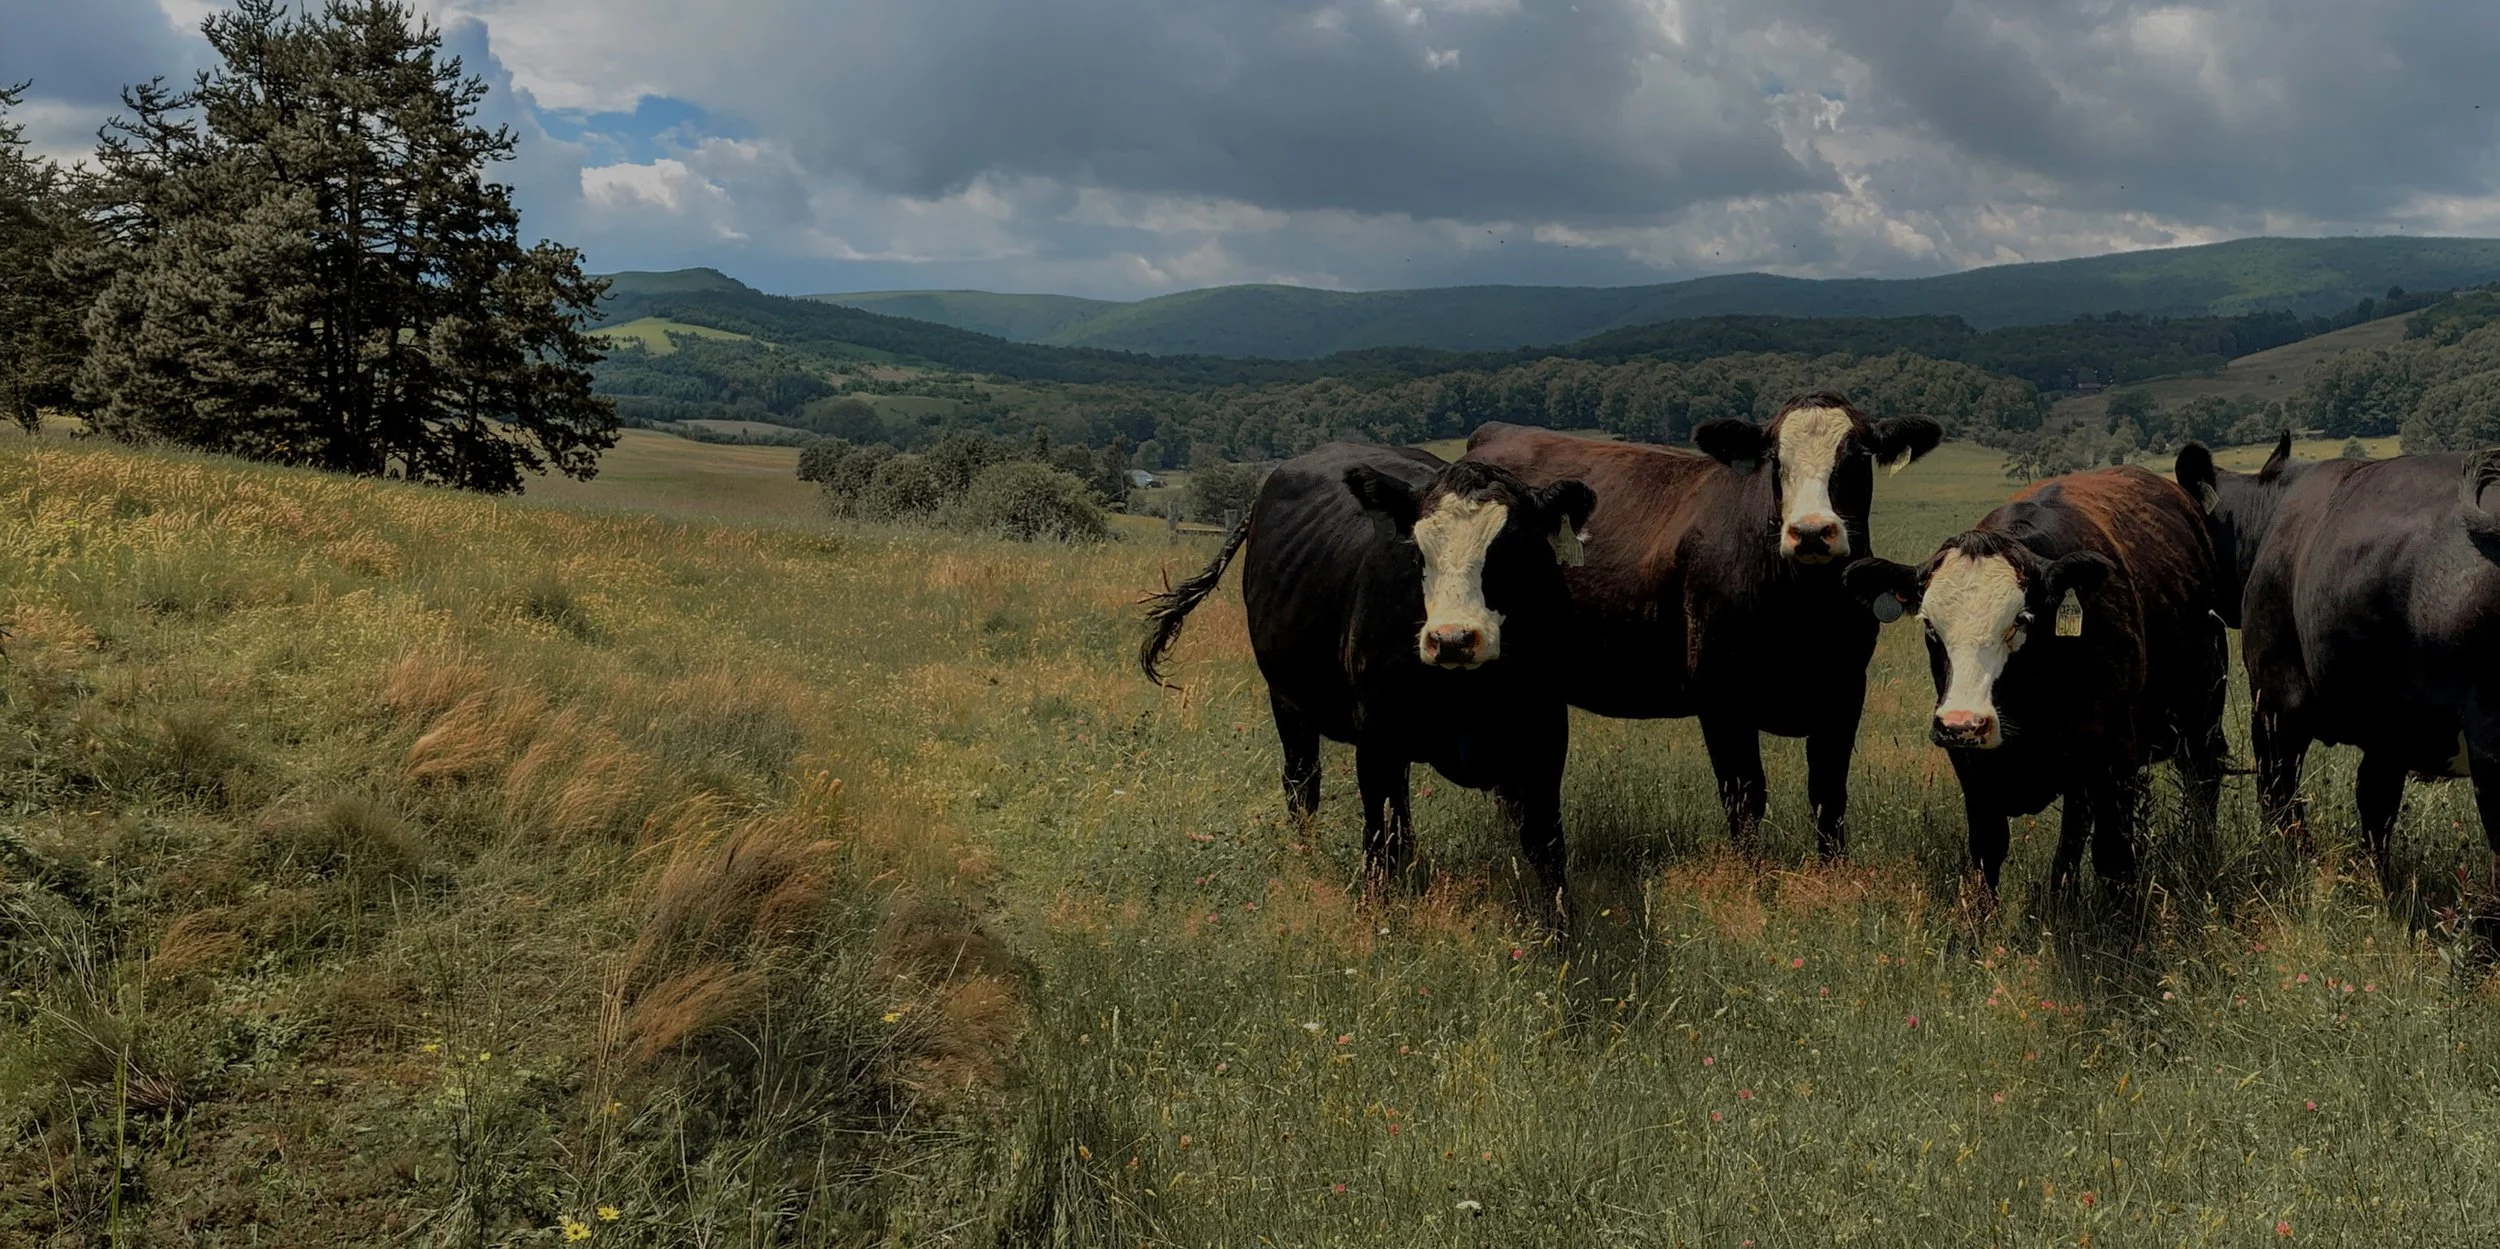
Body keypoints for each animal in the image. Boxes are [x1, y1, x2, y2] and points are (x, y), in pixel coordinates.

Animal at [1139, 443, 1598, 907]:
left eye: (1514, 548)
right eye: (1418, 551)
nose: (1452, 639)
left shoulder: (1544, 734)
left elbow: (1547, 851)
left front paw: (1560, 926)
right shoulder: (1376, 738)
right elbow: (1377, 843)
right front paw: (1375, 913)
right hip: (1288, 702)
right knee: (1303, 784)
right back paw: (1305, 854)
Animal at [1465, 394, 1943, 859]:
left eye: (1857, 455)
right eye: (1774, 458)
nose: (1810, 532)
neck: (1804, 609)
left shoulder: (1845, 690)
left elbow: (1829, 795)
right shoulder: (1720, 694)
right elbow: (1745, 797)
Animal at [1840, 466, 2229, 893]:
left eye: (2020, 621)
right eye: (1929, 626)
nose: (1963, 723)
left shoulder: (2114, 759)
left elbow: (2114, 860)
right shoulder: (1974, 768)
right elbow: (1987, 852)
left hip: (2204, 715)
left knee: (2204, 781)